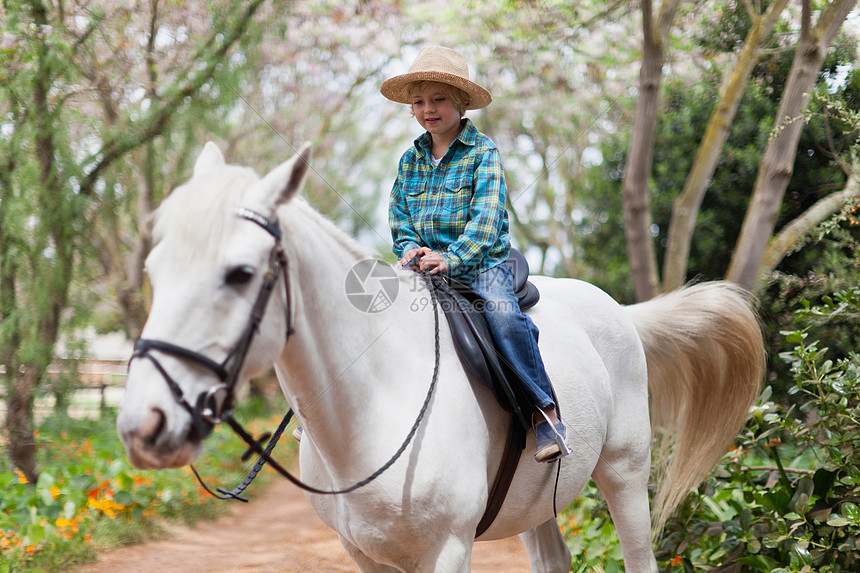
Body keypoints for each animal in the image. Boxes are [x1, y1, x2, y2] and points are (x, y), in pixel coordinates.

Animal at [116, 144, 764, 572]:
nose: (144, 425)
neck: (374, 402)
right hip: (541, 504)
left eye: (240, 274)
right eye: (154, 269)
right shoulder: (364, 555)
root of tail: (620, 313)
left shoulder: (447, 550)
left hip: (625, 474)